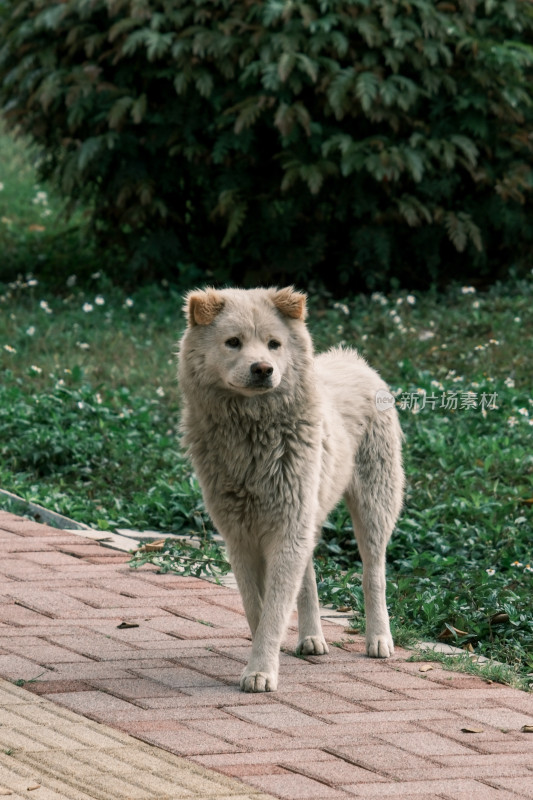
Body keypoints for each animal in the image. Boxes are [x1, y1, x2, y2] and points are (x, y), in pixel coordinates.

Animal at [177, 288, 402, 692]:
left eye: (273, 344)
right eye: (233, 342)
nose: (263, 369)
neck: (251, 433)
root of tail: (354, 360)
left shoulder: (286, 528)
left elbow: (275, 607)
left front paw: (261, 671)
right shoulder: (241, 536)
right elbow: (258, 607)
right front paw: (266, 658)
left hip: (373, 507)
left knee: (373, 574)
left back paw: (379, 639)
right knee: (308, 577)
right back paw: (311, 639)